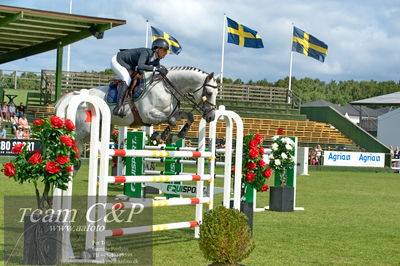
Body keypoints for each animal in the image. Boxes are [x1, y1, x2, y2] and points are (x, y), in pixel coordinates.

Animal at [54, 65, 219, 151]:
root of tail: (74, 96)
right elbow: (171, 120)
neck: (166, 87)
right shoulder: (148, 115)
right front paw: (162, 136)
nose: (211, 117)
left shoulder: (172, 111)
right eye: (209, 93)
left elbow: (186, 117)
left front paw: (173, 136)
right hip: (82, 132)